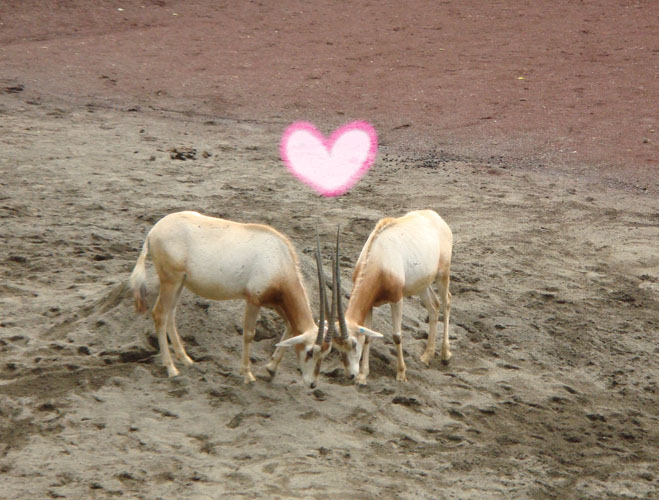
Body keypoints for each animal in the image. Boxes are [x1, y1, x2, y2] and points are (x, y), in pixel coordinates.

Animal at [128, 211, 331, 387]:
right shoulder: (253, 300)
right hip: (171, 281)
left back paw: (185, 359)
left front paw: (270, 369)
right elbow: (249, 334)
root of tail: (154, 231)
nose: (312, 384)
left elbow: (290, 327)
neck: (278, 258)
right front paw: (247, 375)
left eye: (325, 354)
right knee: (160, 314)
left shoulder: (275, 302)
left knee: (170, 314)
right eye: (310, 351)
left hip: (180, 282)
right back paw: (171, 368)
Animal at [328, 210, 453, 385]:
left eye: (353, 344)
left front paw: (401, 373)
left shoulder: (396, 299)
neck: (378, 257)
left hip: (443, 274)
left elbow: (397, 336)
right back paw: (427, 356)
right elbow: (368, 337)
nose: (350, 375)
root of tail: (435, 216)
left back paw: (445, 354)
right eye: (337, 348)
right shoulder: (370, 304)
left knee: (446, 302)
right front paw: (363, 376)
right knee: (434, 306)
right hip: (422, 284)